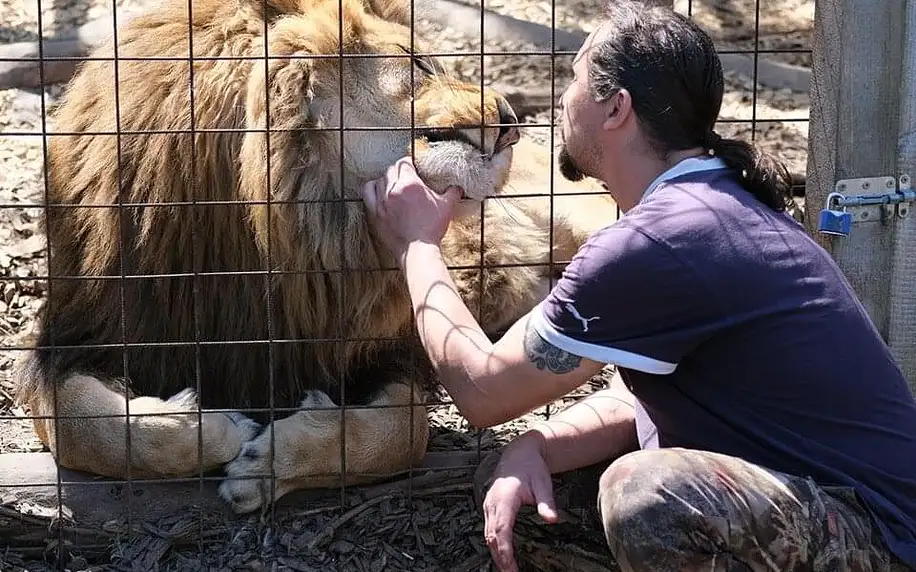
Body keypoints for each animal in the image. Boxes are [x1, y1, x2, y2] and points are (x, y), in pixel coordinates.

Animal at [12, 0, 616, 512]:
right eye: (420, 63)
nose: (512, 119)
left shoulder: (383, 354)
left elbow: (402, 433)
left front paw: (267, 464)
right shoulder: (75, 337)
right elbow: (88, 430)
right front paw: (219, 428)